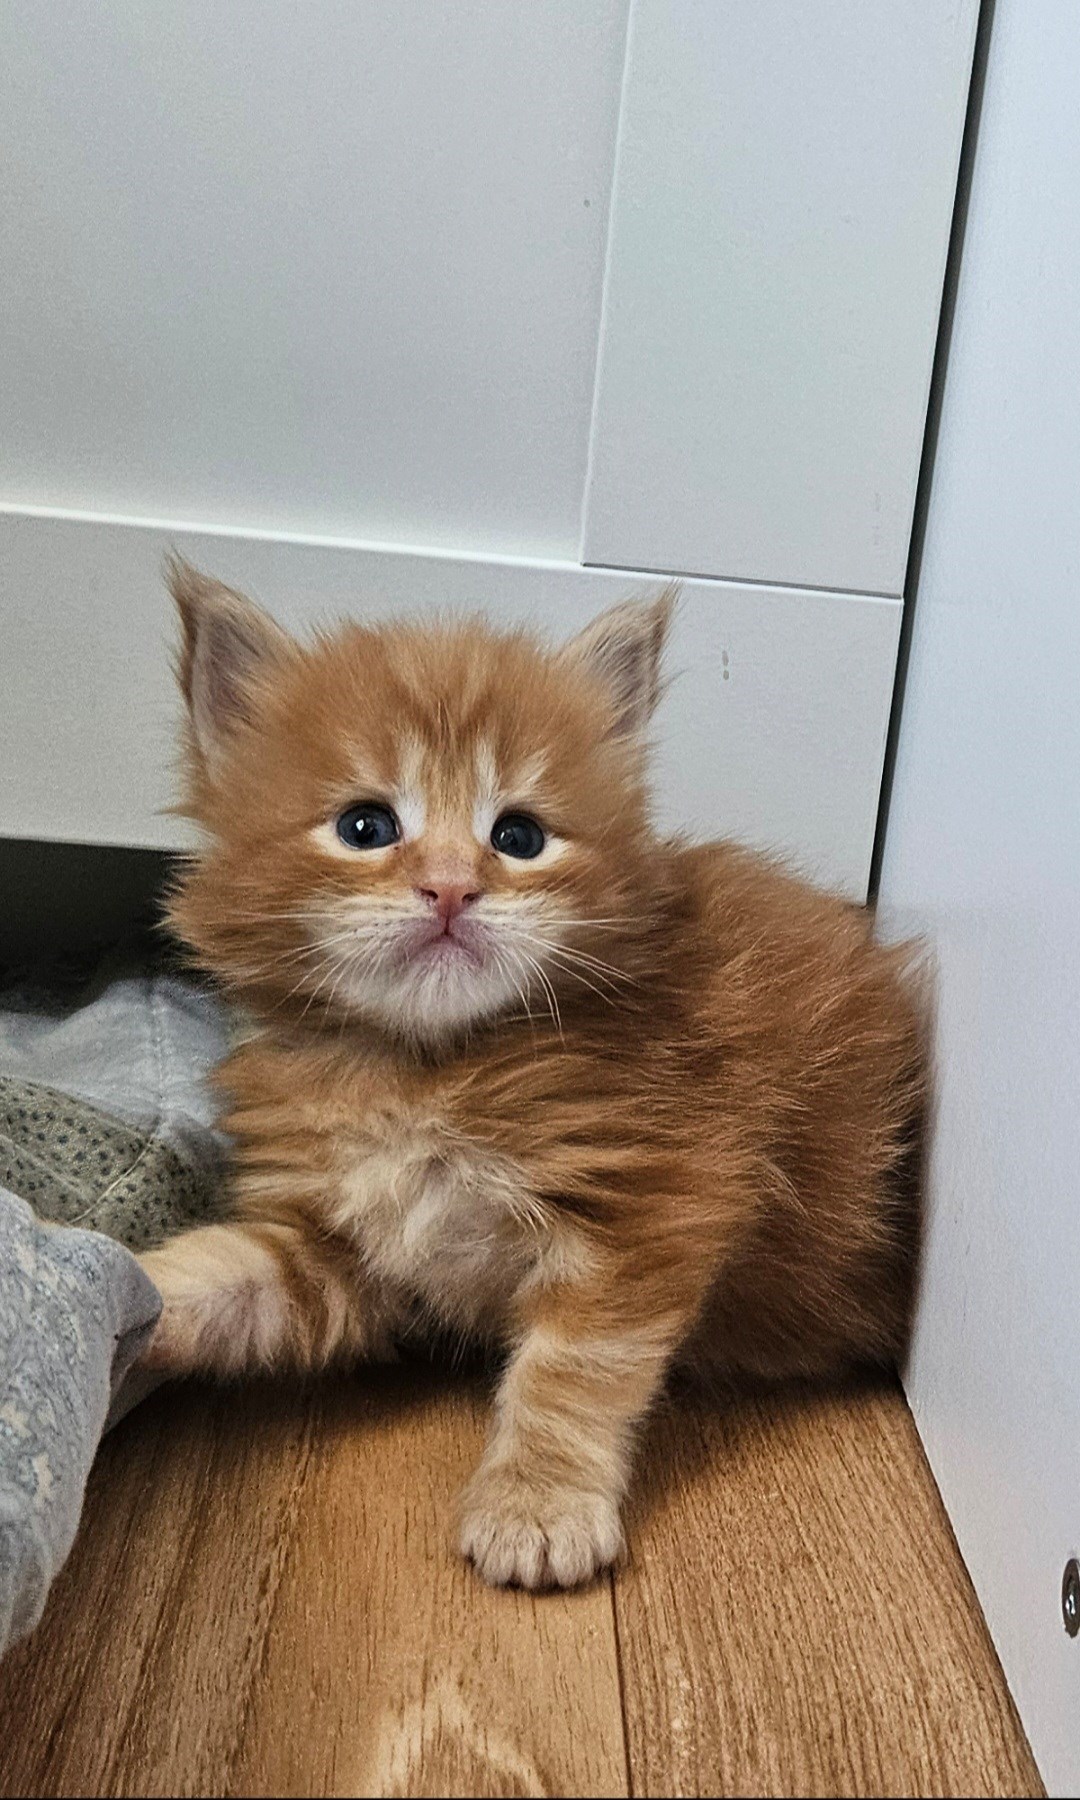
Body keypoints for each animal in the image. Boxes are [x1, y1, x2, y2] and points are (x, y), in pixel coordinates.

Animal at [140, 557, 924, 1590]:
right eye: (365, 825)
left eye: (517, 837)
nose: (450, 888)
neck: (426, 1067)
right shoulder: (342, 1251)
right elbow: (228, 1274)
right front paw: (109, 1287)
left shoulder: (650, 1202)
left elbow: (571, 1373)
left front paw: (536, 1505)